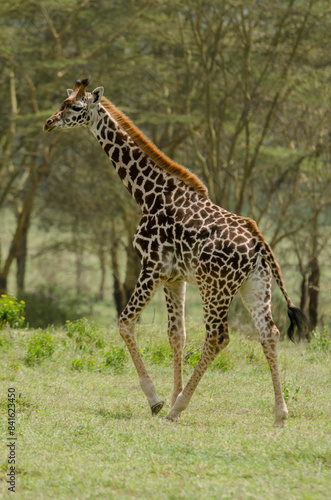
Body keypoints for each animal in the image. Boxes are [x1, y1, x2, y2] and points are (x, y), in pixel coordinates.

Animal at [43, 78, 308, 426]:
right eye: (61, 103)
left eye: (75, 107)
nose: (48, 123)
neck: (148, 194)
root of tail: (258, 242)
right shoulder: (175, 277)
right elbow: (176, 334)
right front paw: (169, 395)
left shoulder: (152, 267)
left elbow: (125, 322)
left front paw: (157, 400)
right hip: (254, 286)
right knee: (270, 333)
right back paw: (279, 414)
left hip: (215, 288)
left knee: (218, 336)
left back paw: (177, 408)